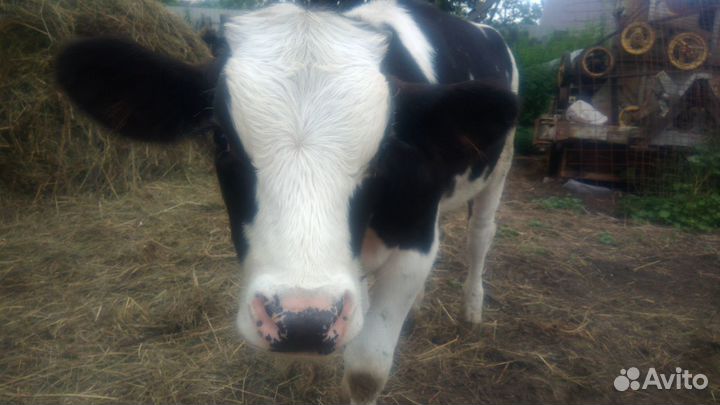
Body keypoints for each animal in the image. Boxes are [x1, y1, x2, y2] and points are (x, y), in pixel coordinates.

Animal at [55, 0, 519, 403]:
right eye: (220, 139)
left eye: (386, 149)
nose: (304, 321)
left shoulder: (415, 242)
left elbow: (366, 371)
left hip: (500, 168)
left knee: (481, 235)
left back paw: (472, 307)